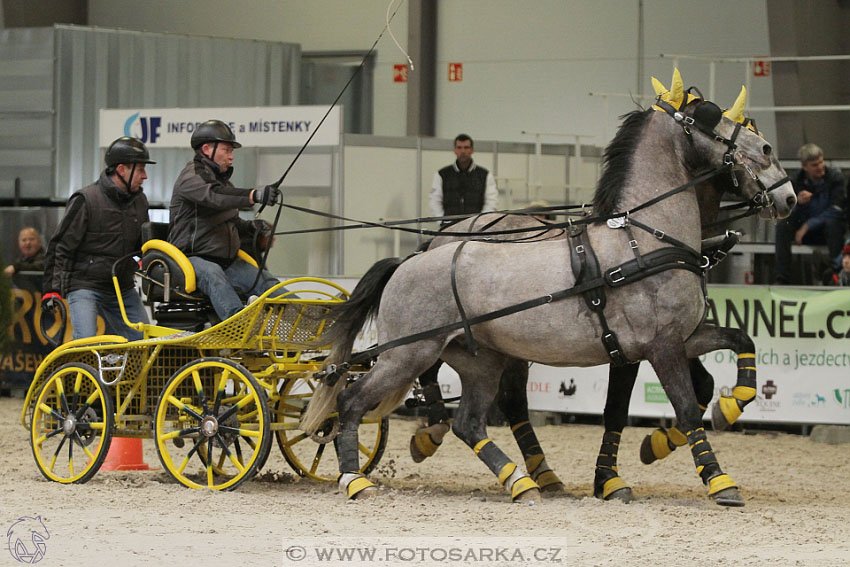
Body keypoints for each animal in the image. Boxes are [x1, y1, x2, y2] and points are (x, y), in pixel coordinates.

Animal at [302, 72, 792, 506]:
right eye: (710, 116)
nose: (786, 190)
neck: (643, 238)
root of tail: (410, 260)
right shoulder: (660, 346)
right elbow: (686, 407)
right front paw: (718, 481)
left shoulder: (676, 338)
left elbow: (739, 343)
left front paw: (727, 409)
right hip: (407, 353)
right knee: (351, 399)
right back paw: (355, 479)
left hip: (478, 361)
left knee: (471, 422)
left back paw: (521, 481)